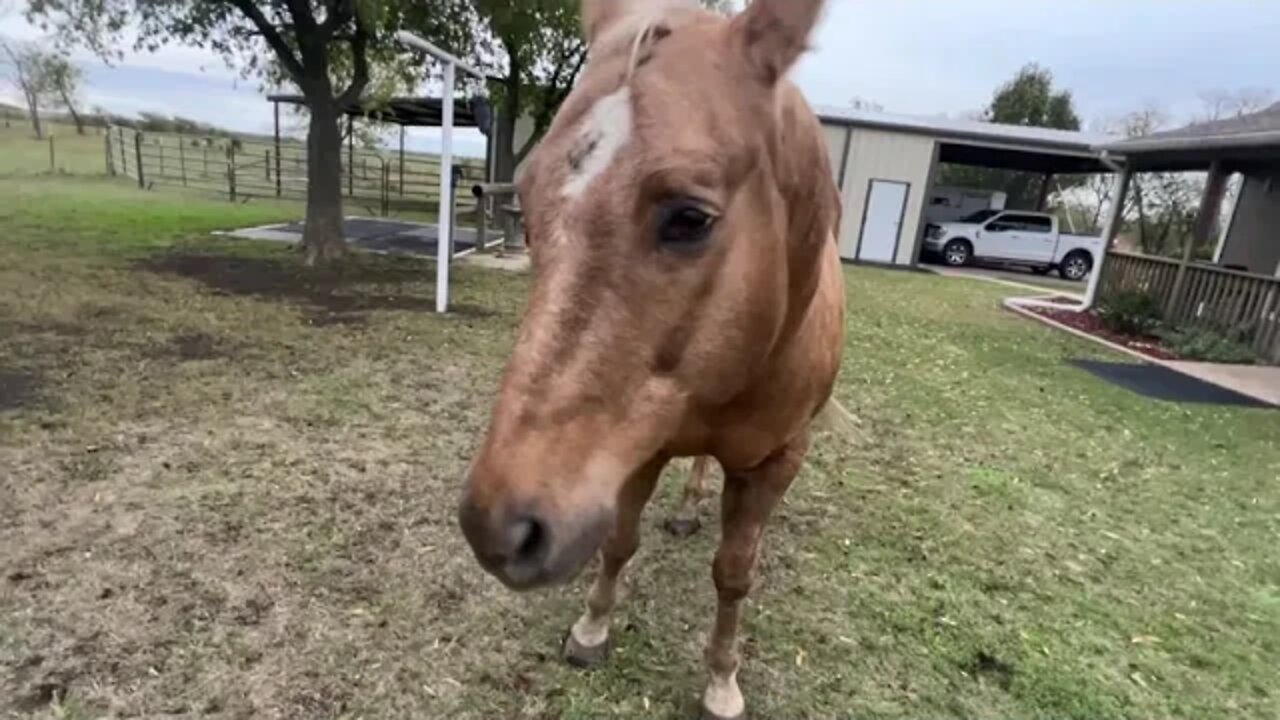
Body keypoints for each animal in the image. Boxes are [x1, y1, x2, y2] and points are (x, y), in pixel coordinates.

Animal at [455, 1, 844, 712]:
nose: (497, 529)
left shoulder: (777, 461)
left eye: (690, 217)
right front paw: (592, 628)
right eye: (527, 203)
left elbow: (734, 573)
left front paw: (722, 681)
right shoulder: (639, 447)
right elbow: (618, 541)